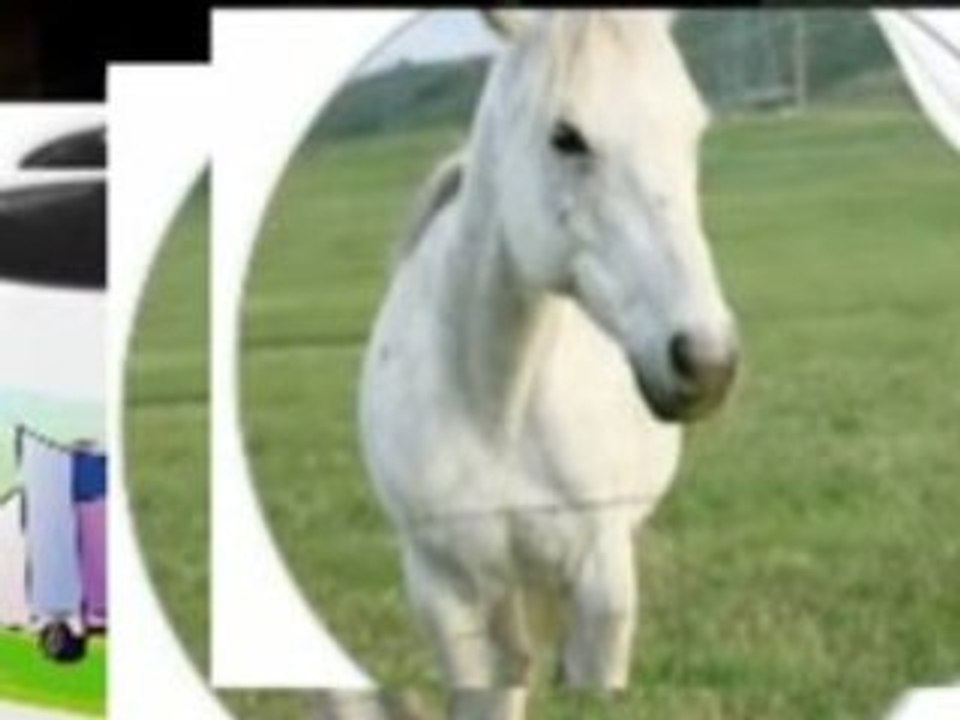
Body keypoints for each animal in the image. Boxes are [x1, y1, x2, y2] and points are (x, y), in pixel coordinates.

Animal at [358, 10, 740, 719]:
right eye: (566, 137)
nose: (707, 362)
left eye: (693, 128)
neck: (495, 408)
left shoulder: (602, 583)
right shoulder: (443, 591)